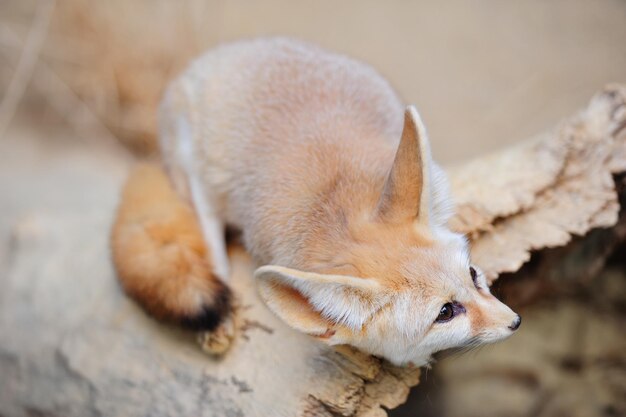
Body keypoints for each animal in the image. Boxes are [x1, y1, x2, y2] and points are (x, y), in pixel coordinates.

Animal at [109, 38, 520, 364]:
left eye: (473, 275)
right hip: (200, 172)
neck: (338, 207)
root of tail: (228, 51)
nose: (515, 322)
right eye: (446, 312)